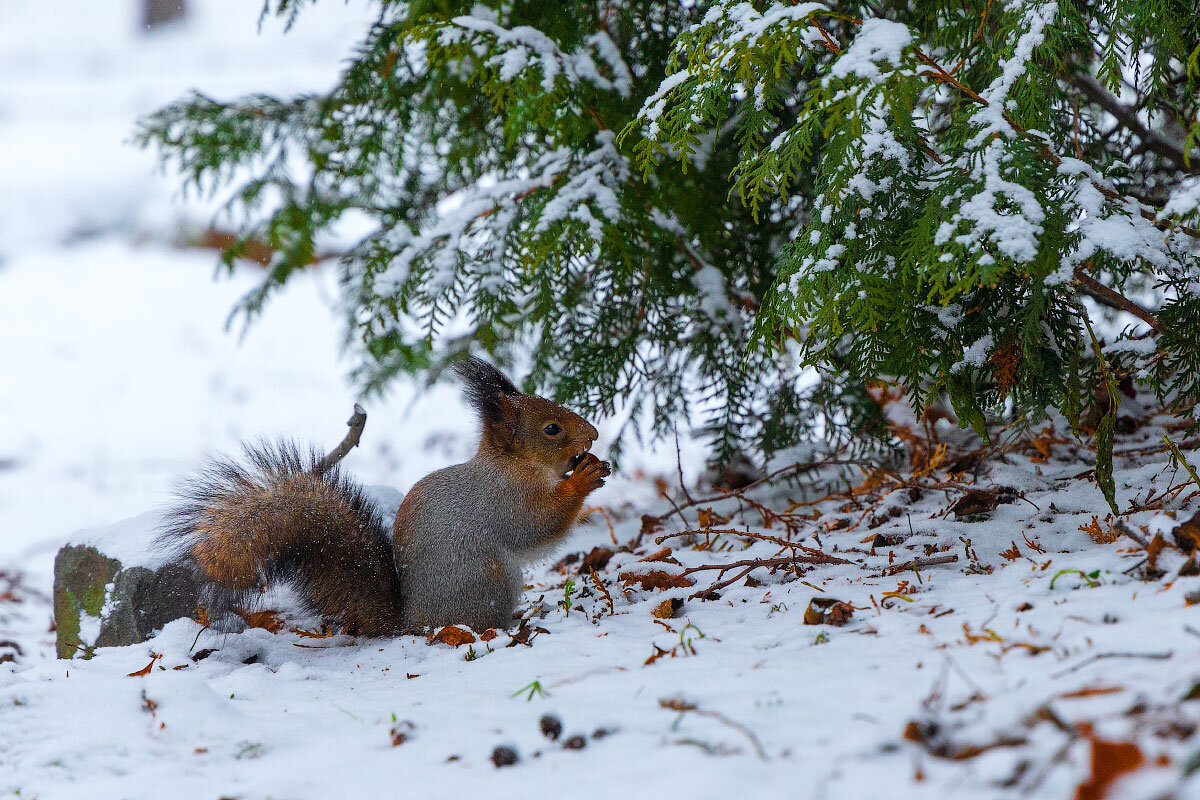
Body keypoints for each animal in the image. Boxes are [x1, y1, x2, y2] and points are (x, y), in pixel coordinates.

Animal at [159, 359, 609, 633]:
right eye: (551, 428)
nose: (593, 433)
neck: (514, 465)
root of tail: (412, 621)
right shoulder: (504, 499)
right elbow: (537, 527)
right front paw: (584, 478)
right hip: (491, 579)